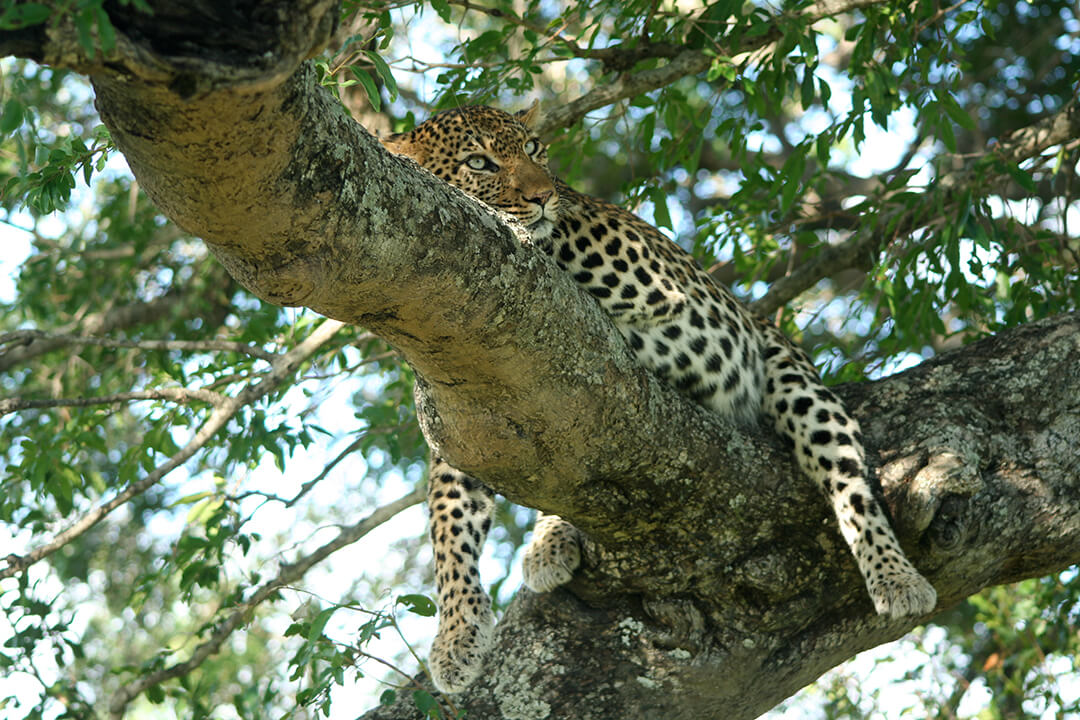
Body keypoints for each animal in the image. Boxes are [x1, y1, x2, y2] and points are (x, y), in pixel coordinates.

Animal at [382, 101, 937, 690]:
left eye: (533, 149)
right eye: (479, 163)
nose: (543, 195)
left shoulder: (655, 285)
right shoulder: (465, 423)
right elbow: (449, 527)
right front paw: (456, 637)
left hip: (796, 381)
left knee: (851, 488)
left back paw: (896, 577)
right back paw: (549, 541)